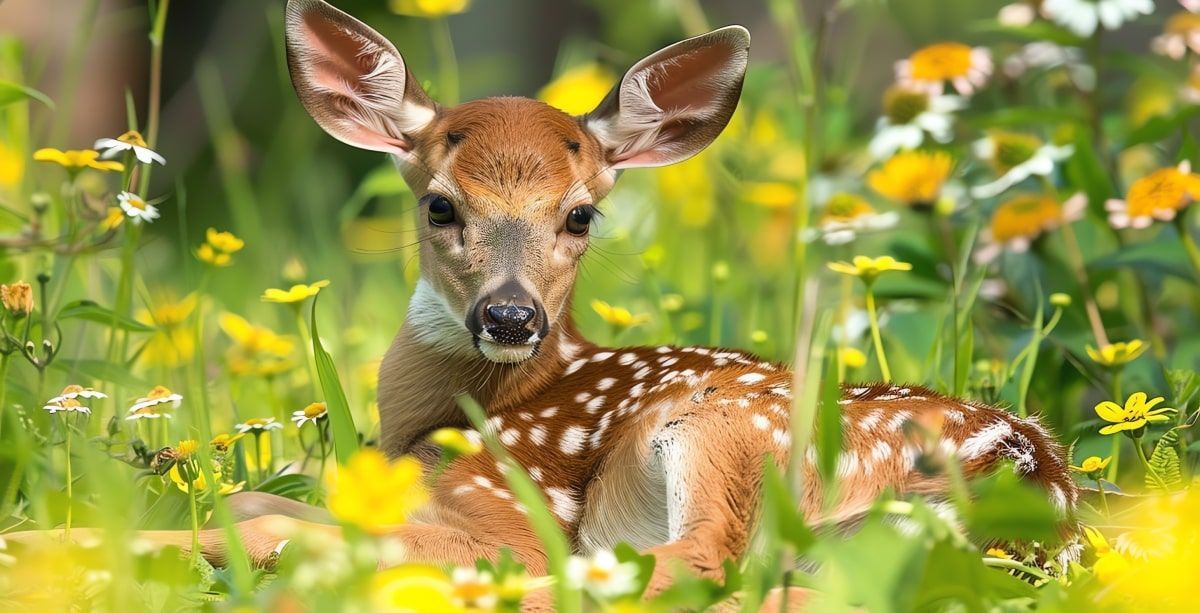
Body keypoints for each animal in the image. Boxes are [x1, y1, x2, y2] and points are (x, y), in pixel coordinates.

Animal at [9, 0, 1078, 604]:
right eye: (441, 204)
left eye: (580, 215)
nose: (511, 317)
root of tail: (1031, 482)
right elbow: (247, 494)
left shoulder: (505, 503)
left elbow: (277, 519)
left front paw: (48, 547)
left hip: (733, 429)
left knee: (690, 566)